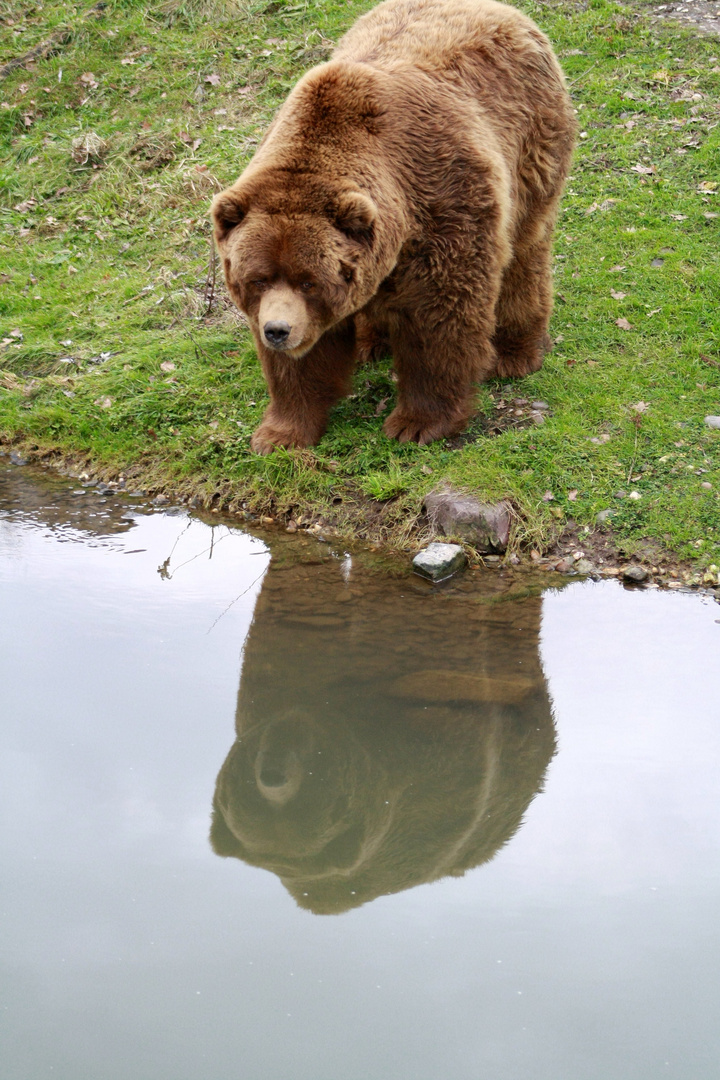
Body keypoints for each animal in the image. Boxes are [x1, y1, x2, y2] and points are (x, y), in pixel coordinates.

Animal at [212, 0, 574, 451]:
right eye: (257, 279)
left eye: (309, 281)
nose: (277, 330)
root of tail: (504, 11)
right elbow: (301, 364)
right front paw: (280, 433)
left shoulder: (443, 205)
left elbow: (440, 323)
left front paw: (417, 423)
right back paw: (372, 342)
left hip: (529, 148)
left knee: (524, 251)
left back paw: (514, 354)